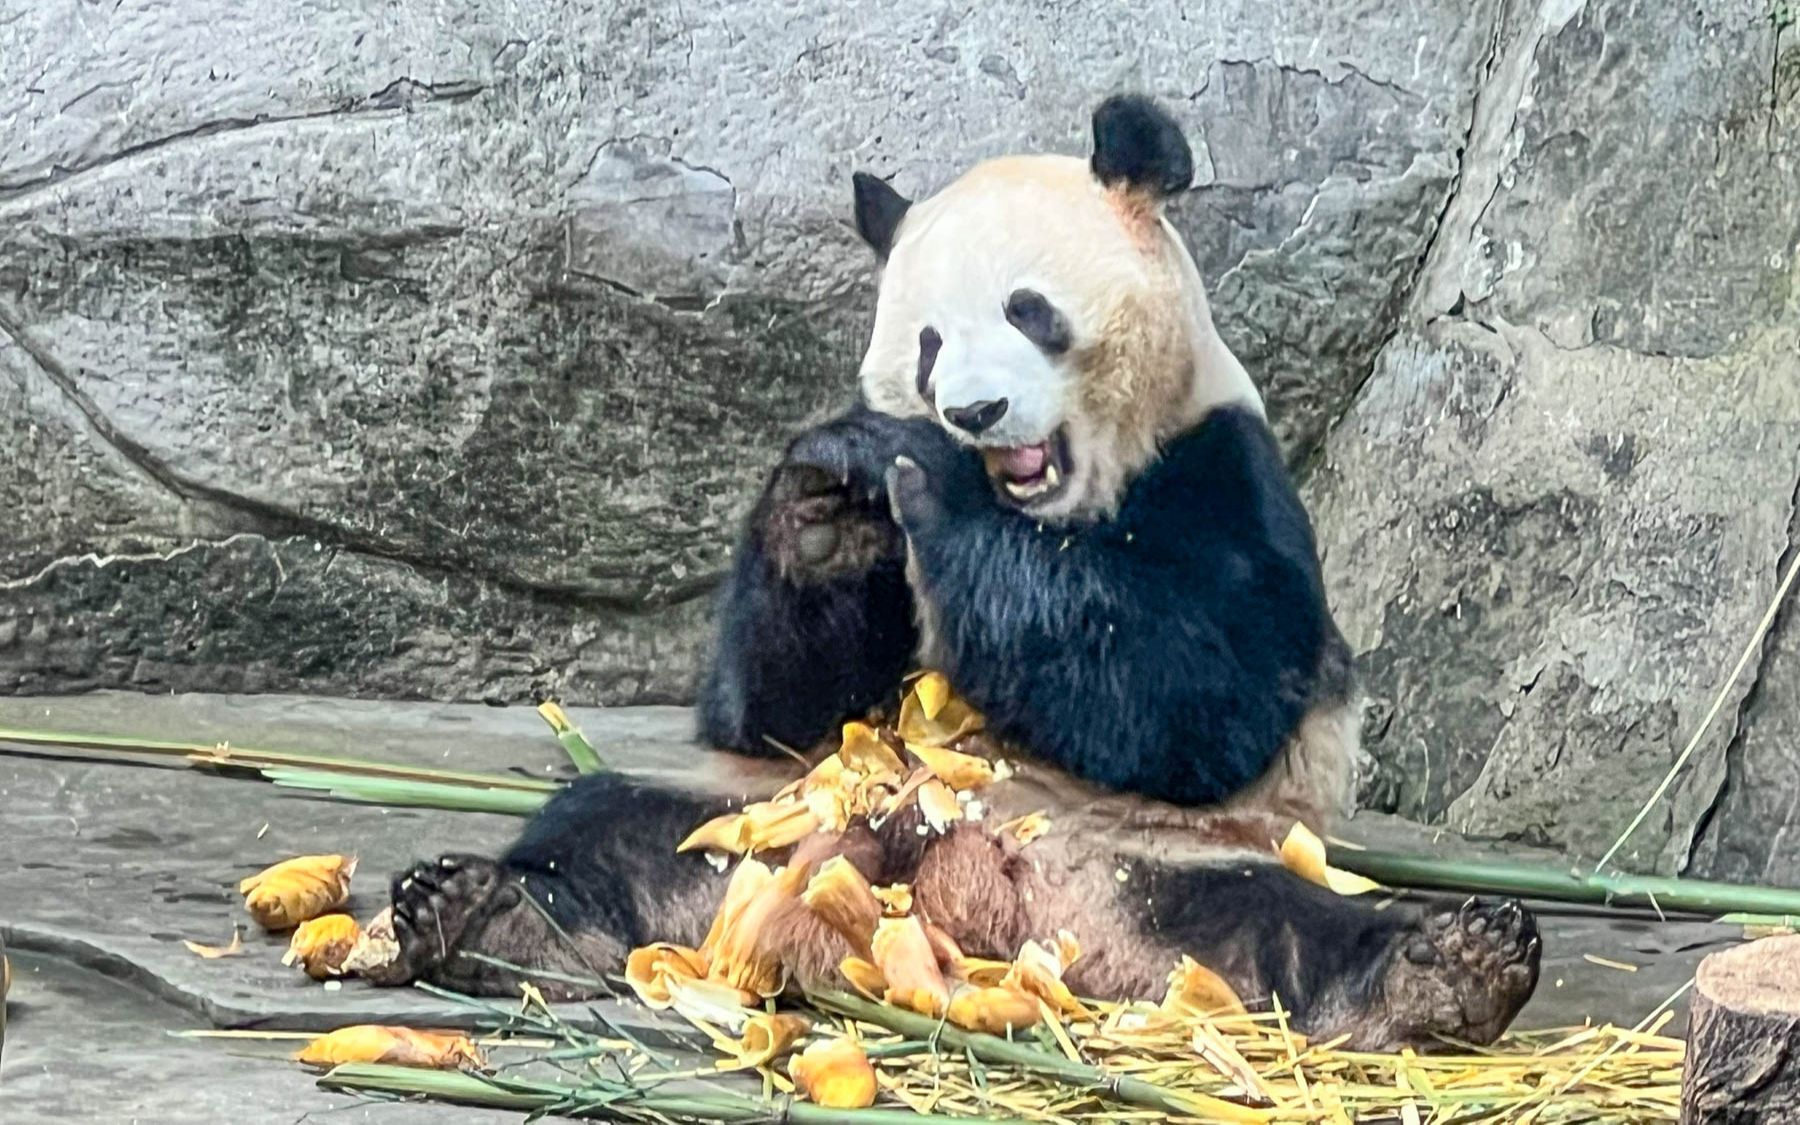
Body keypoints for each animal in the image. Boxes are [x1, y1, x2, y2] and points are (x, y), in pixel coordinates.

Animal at [379, 96, 1533, 1051]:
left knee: (1279, 925)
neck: (1050, 511)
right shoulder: (814, 712)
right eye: (928, 342)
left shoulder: (1225, 469)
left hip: (1148, 862)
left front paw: (927, 474)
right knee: (614, 826)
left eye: (1030, 310)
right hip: (781, 821)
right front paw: (826, 500)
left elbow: (1191, 700)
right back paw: (488, 914)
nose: (974, 412)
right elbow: (780, 705)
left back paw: (1441, 971)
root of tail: (952, 894)